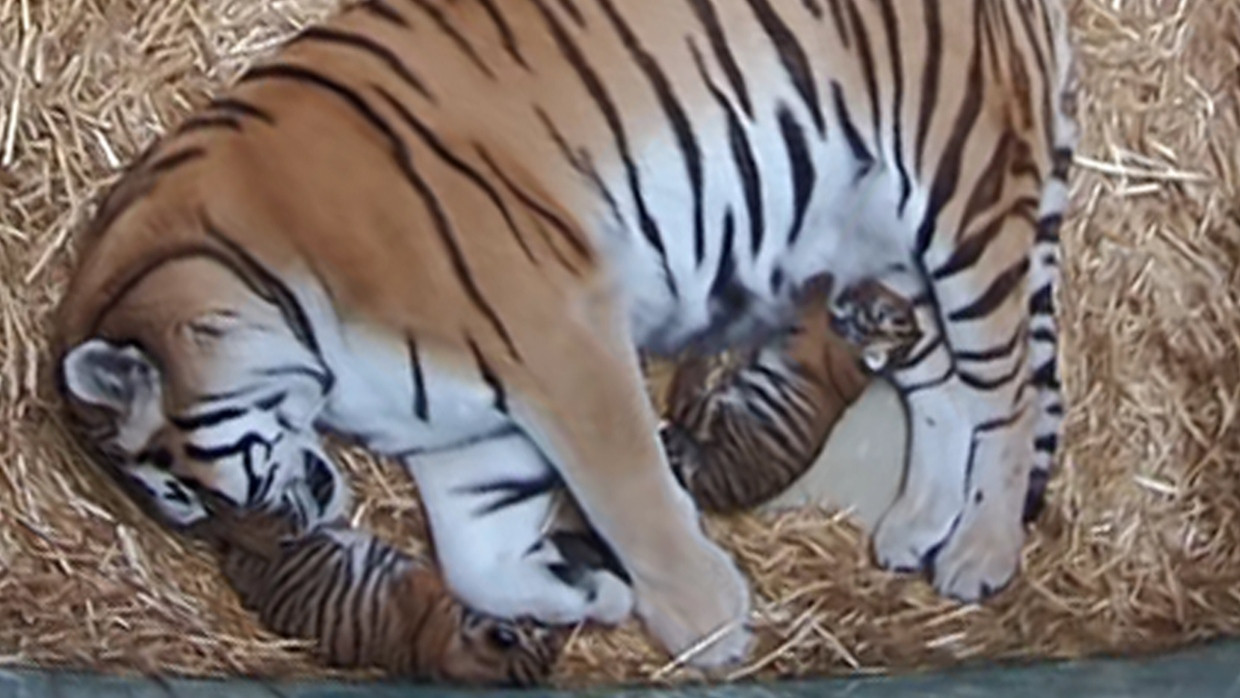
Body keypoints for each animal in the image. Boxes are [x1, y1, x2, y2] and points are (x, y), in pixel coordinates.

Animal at [50, 0, 1079, 670]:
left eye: (183, 496)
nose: (270, 550)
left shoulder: (559, 337)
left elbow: (635, 499)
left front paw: (707, 627)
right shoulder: (459, 426)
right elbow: (478, 564)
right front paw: (588, 597)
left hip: (961, 199)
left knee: (1009, 390)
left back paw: (983, 551)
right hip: (884, 245)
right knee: (941, 381)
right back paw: (918, 523)